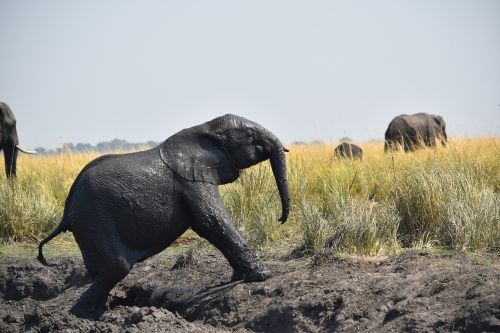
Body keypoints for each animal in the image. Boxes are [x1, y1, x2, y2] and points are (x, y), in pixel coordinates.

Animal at [39, 114, 292, 320]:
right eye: (250, 136)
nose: (280, 220)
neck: (205, 128)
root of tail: (67, 209)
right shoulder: (191, 181)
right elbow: (211, 220)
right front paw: (264, 275)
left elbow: (208, 227)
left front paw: (239, 276)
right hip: (94, 219)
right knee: (116, 267)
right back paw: (82, 317)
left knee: (102, 273)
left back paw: (95, 314)